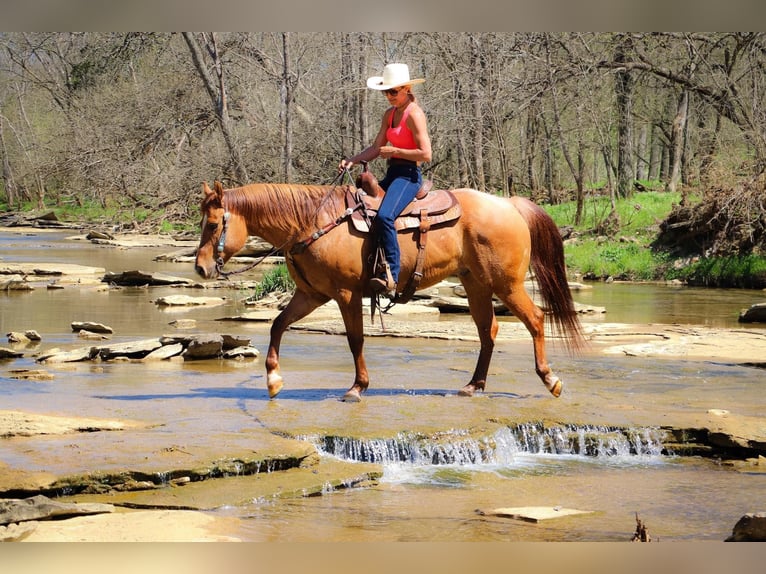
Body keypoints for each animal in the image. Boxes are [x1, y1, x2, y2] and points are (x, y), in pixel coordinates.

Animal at [195, 182, 584, 402]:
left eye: (213, 225)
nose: (200, 268)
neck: (312, 223)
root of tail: (510, 204)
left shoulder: (346, 294)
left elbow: (355, 340)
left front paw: (357, 387)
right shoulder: (311, 295)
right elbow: (277, 325)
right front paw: (274, 380)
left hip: (507, 284)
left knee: (535, 319)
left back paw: (551, 380)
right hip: (475, 284)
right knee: (488, 331)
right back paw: (474, 385)